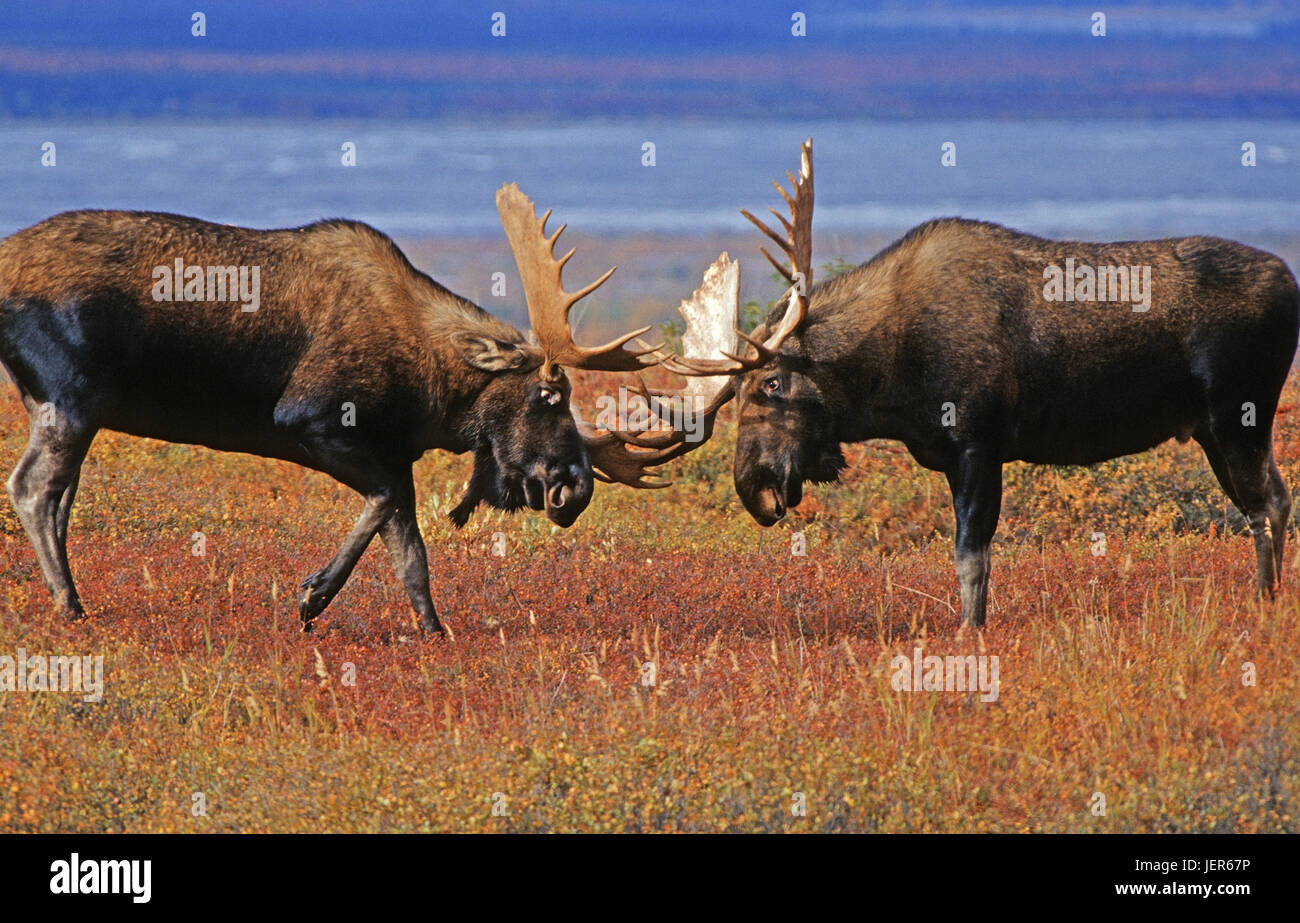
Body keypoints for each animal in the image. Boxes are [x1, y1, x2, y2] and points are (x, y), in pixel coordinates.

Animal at [2, 188, 691, 637]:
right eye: (549, 395)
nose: (575, 490)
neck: (434, 387)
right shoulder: (313, 420)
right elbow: (385, 508)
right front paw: (312, 597)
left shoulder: (394, 452)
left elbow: (412, 555)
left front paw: (433, 631)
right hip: (70, 398)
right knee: (32, 488)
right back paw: (71, 605)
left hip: (67, 408)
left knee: (60, 498)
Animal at [642, 137, 1300, 629]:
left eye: (773, 385)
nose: (752, 488)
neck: (888, 384)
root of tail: (1291, 280)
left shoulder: (980, 444)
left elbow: (970, 558)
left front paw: (970, 633)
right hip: (1214, 429)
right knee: (1266, 501)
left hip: (1239, 413)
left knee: (1268, 501)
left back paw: (1266, 607)